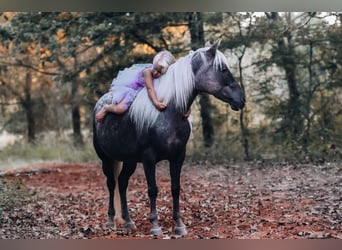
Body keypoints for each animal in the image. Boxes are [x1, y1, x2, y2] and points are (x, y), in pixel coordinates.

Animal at [92, 41, 244, 236]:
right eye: (223, 69)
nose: (241, 99)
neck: (169, 112)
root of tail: (100, 103)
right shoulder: (149, 159)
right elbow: (153, 190)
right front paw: (155, 226)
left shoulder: (178, 157)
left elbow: (175, 188)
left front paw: (179, 225)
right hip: (106, 159)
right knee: (111, 183)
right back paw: (111, 220)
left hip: (130, 160)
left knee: (123, 182)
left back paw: (128, 221)